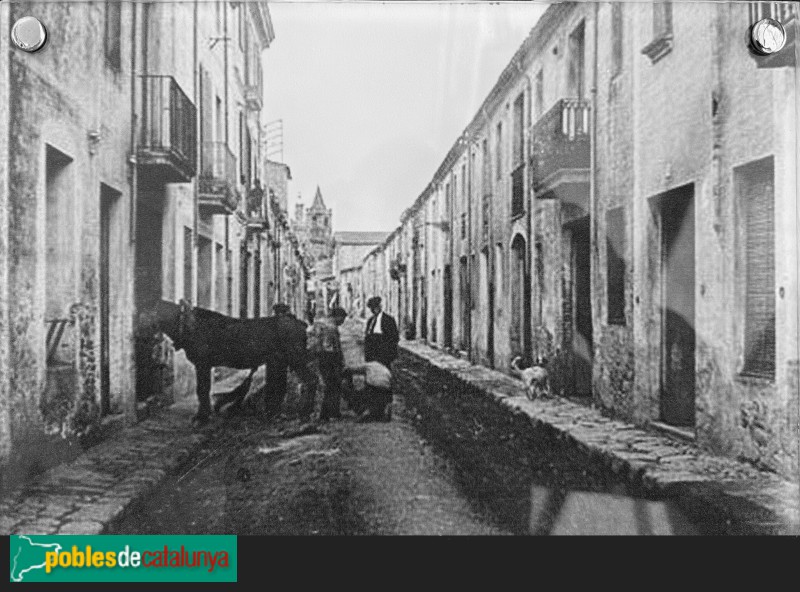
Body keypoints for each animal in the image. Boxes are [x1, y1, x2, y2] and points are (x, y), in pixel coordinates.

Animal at [138, 300, 316, 426]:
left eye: (143, 314)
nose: (138, 334)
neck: (185, 324)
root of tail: (302, 324)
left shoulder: (202, 364)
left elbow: (202, 391)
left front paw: (201, 417)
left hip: (297, 359)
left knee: (311, 381)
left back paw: (306, 413)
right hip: (284, 361)